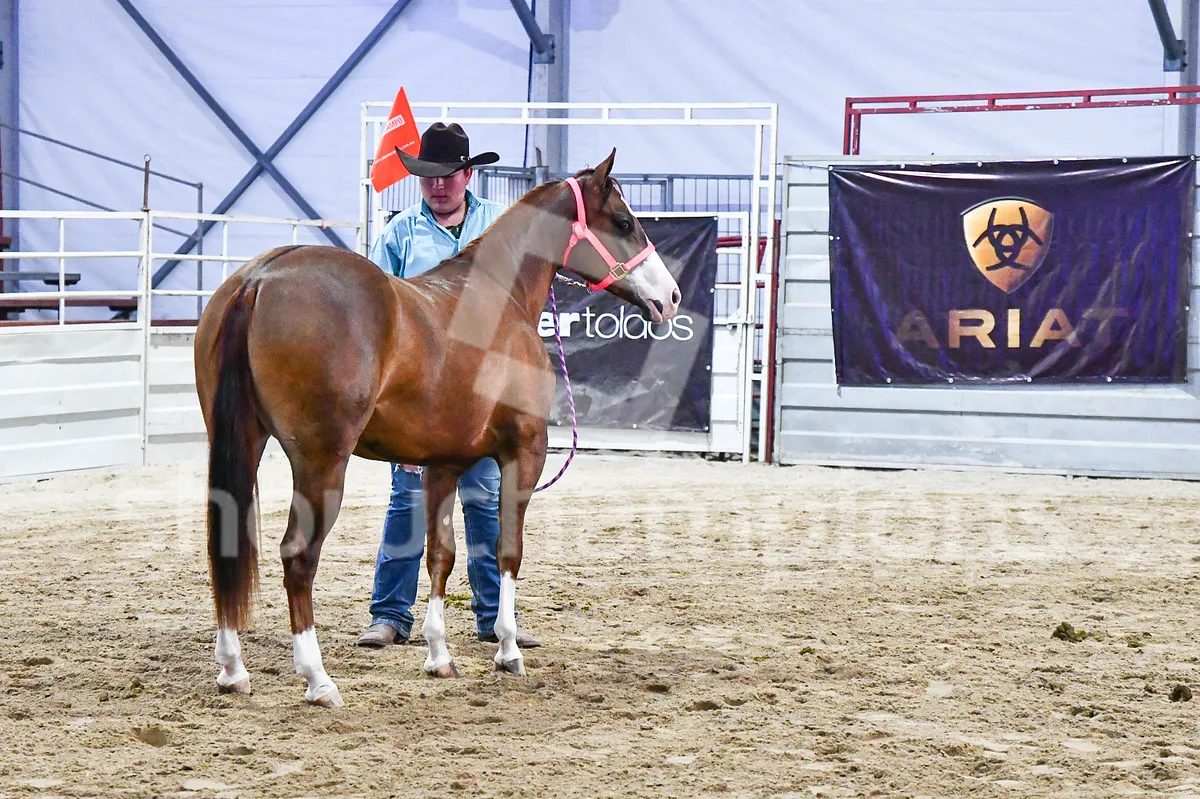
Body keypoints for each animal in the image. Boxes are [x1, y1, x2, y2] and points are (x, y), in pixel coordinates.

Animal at [193, 149, 681, 707]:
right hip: (320, 463)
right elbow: (506, 548)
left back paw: (233, 670)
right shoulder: (524, 452)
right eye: (623, 223)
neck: (499, 296)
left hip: (243, 442)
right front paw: (508, 651)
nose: (671, 296)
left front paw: (439, 656)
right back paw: (318, 680)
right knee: (299, 556)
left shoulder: (444, 463)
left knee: (228, 543)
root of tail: (261, 277)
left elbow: (441, 555)